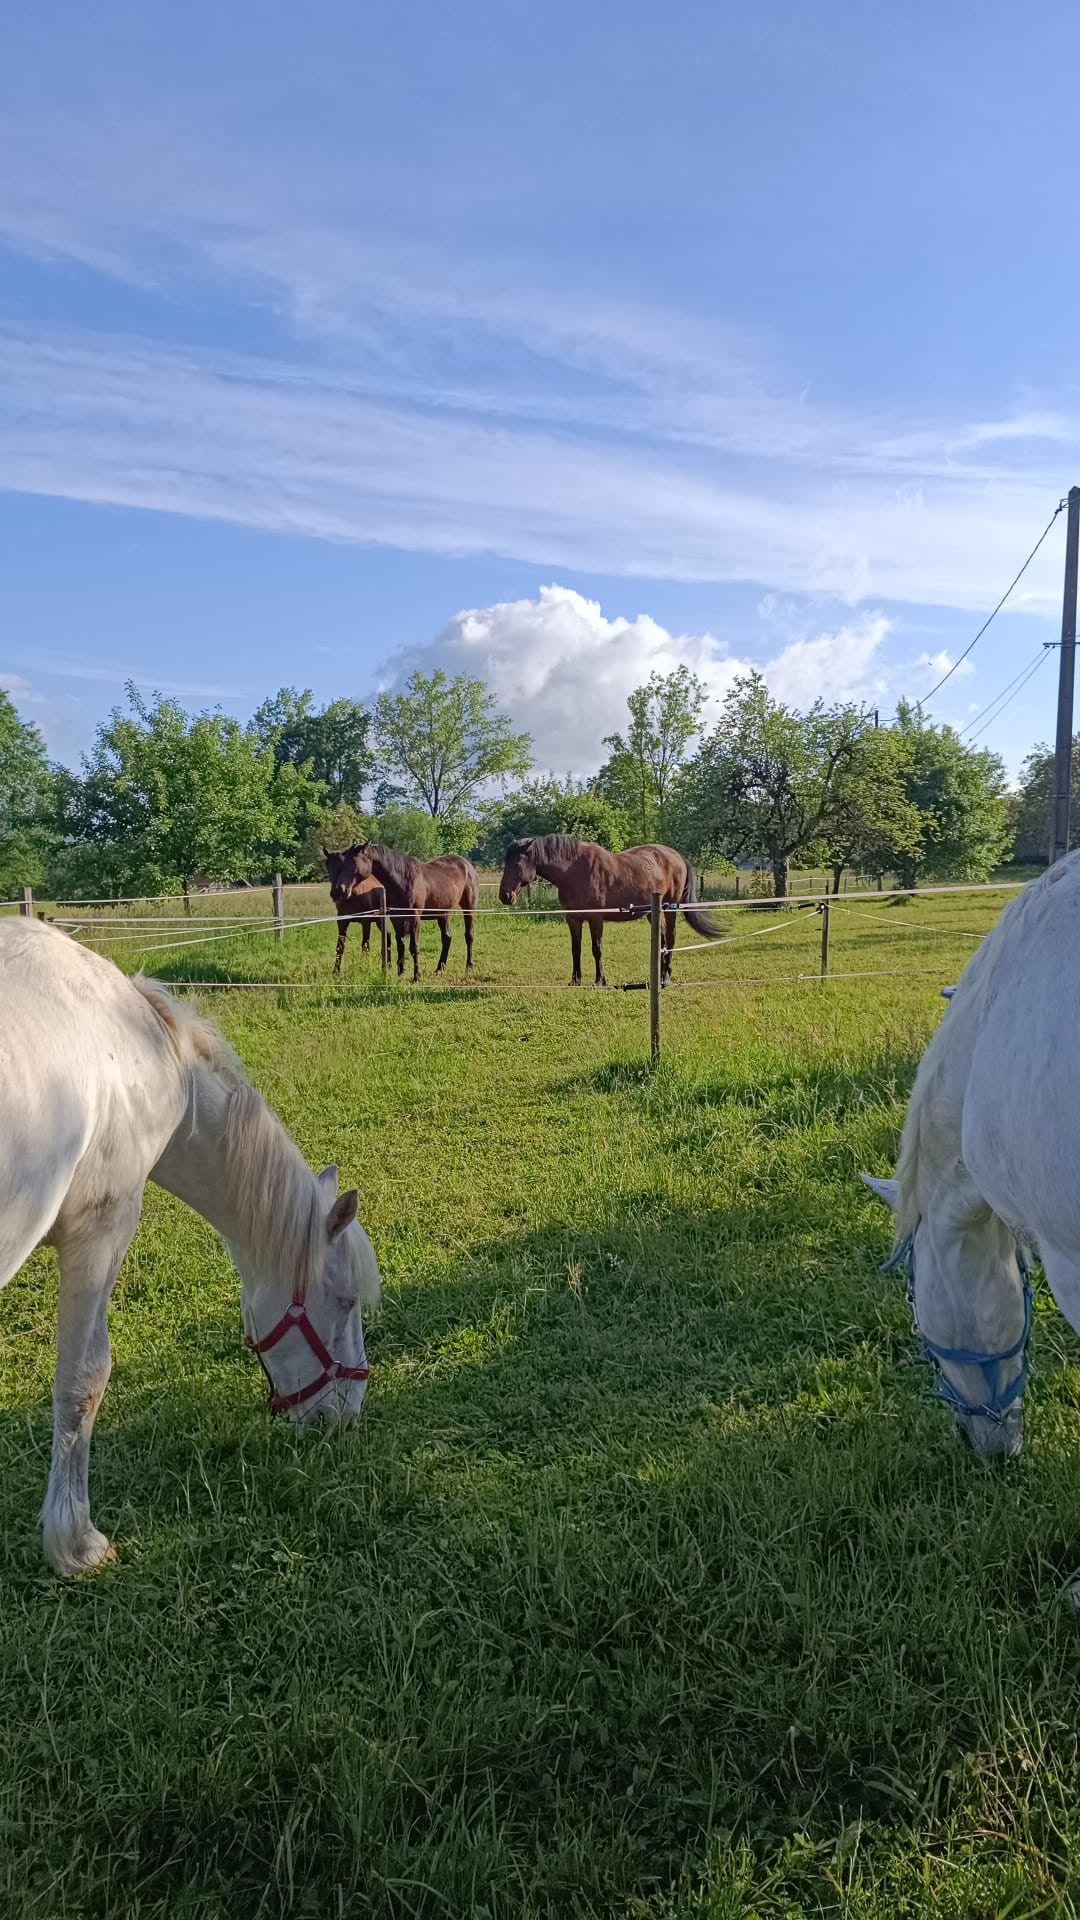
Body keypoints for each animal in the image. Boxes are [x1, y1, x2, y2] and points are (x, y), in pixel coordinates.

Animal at [0, 918, 381, 1575]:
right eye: (345, 1301)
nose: (346, 1414)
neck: (144, 1048)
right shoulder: (102, 1226)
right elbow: (83, 1380)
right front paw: (75, 1542)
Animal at [330, 843, 477, 981]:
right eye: (343, 863)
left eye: (354, 862)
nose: (338, 891)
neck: (403, 881)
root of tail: (466, 865)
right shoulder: (396, 917)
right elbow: (400, 944)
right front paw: (400, 972)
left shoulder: (415, 918)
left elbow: (414, 947)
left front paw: (416, 976)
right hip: (443, 913)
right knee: (447, 938)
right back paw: (439, 969)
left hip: (469, 908)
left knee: (469, 935)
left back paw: (469, 966)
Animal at [498, 835, 723, 986]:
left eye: (517, 862)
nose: (505, 896)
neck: (574, 871)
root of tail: (676, 856)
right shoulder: (573, 918)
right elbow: (575, 949)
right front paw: (575, 980)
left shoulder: (596, 918)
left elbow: (596, 949)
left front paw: (599, 980)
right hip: (653, 913)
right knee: (662, 942)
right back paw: (658, 976)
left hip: (670, 909)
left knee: (671, 940)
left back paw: (666, 977)